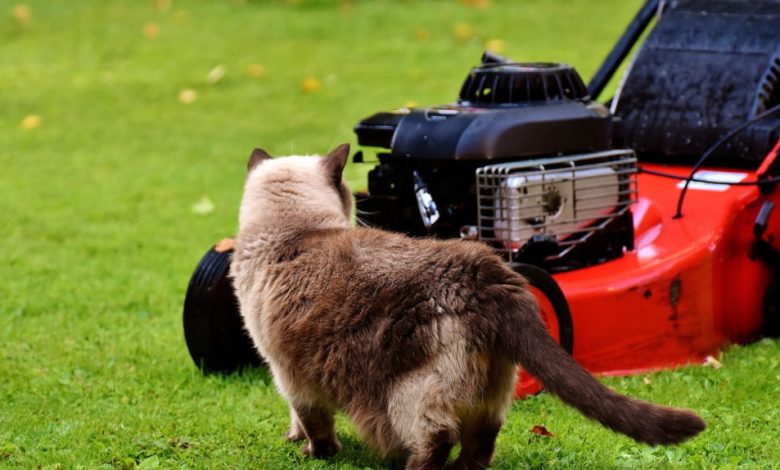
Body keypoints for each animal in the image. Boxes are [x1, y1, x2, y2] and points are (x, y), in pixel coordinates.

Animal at [230, 144, 708, 470]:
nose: (359, 208)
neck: (294, 231)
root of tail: (487, 272)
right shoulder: (293, 373)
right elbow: (301, 419)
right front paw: (296, 441)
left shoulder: (288, 372)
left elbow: (313, 422)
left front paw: (313, 452)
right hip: (492, 386)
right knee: (483, 439)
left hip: (410, 392)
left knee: (438, 436)